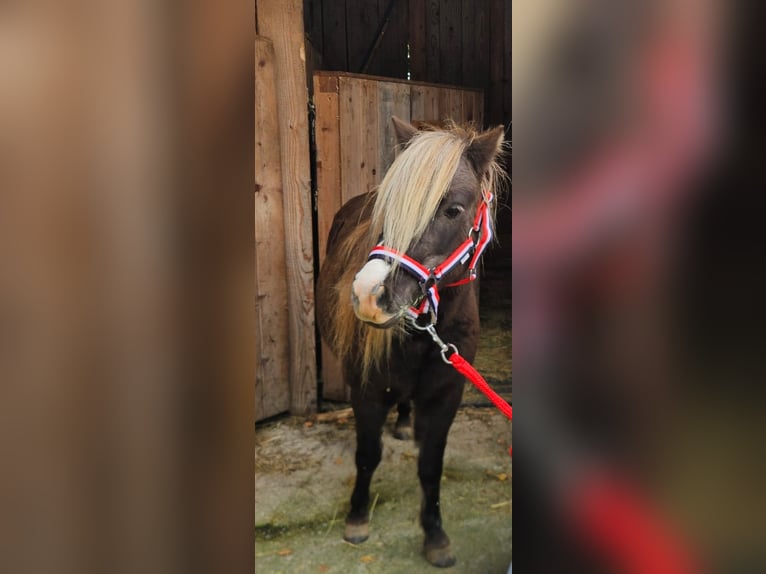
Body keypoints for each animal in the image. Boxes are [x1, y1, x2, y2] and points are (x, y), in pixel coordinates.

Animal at [315, 117, 505, 567]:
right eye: (385, 208)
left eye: (453, 209)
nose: (369, 294)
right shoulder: (365, 389)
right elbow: (367, 455)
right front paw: (357, 518)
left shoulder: (447, 393)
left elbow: (431, 465)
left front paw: (435, 536)